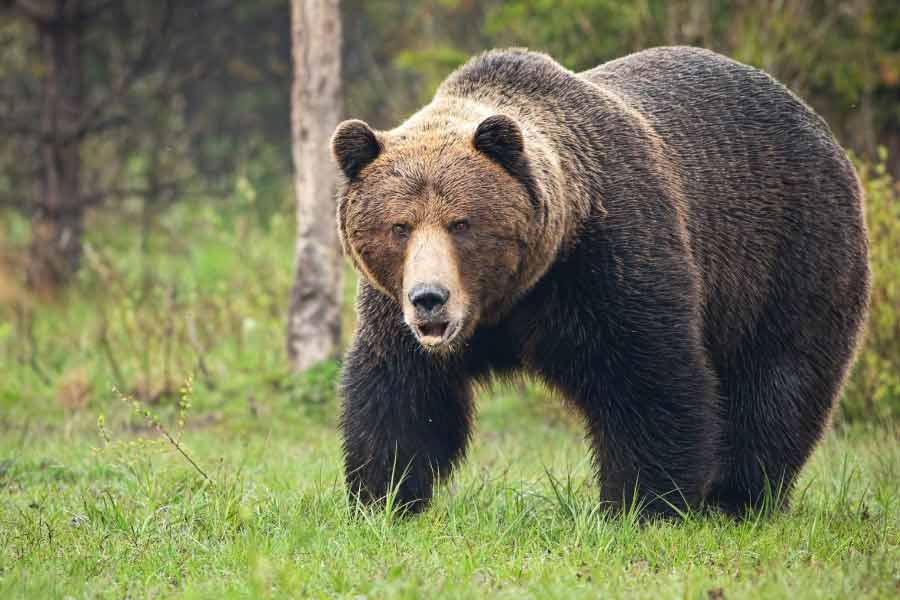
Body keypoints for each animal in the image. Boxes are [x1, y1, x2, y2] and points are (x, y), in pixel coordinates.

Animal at [331, 46, 870, 518]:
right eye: (400, 226)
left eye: (460, 223)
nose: (430, 299)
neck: (512, 296)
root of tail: (814, 121)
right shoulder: (394, 310)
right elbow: (401, 394)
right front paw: (384, 497)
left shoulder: (608, 263)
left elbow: (648, 381)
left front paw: (644, 504)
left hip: (789, 253)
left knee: (778, 381)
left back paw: (738, 496)